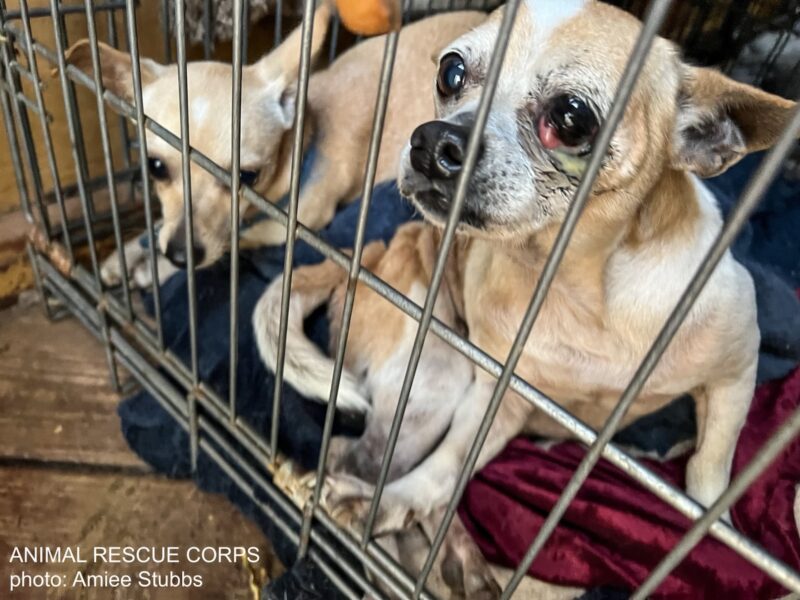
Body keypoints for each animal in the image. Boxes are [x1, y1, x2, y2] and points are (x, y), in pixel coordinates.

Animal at [62, 7, 484, 284]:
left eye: (248, 177)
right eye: (155, 167)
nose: (180, 255)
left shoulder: (291, 228)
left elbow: (237, 239)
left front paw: (155, 269)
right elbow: (159, 225)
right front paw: (126, 254)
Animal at [256, 0, 792, 596]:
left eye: (573, 118)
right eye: (450, 73)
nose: (433, 141)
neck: (576, 290)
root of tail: (361, 254)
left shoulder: (734, 376)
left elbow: (708, 474)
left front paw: (715, 535)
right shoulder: (495, 398)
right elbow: (446, 467)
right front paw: (397, 502)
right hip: (438, 379)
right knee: (358, 455)